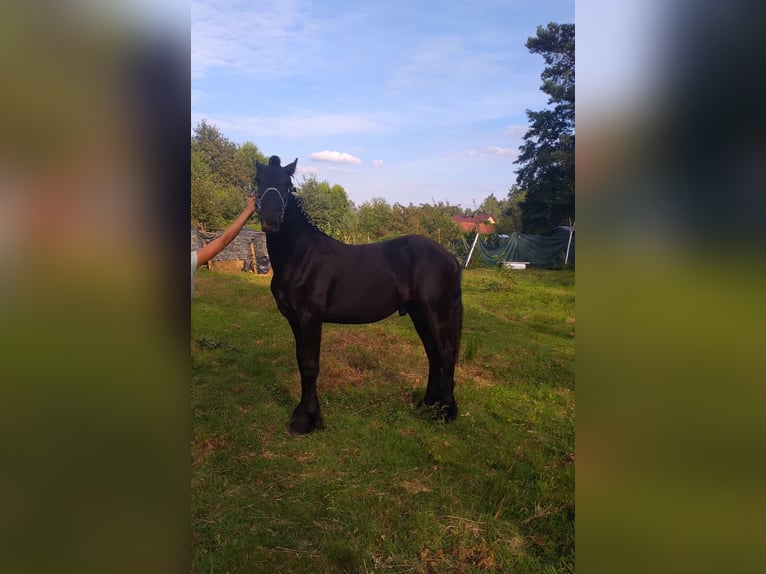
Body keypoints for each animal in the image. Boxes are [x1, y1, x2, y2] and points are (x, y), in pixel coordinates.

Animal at [256, 155, 462, 434]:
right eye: (258, 181)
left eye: (288, 185)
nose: (270, 219)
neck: (300, 256)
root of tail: (449, 256)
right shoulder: (295, 320)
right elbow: (301, 361)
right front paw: (306, 415)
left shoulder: (310, 318)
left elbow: (310, 365)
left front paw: (306, 420)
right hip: (419, 314)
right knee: (433, 354)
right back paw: (427, 403)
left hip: (435, 314)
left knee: (446, 356)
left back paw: (446, 412)